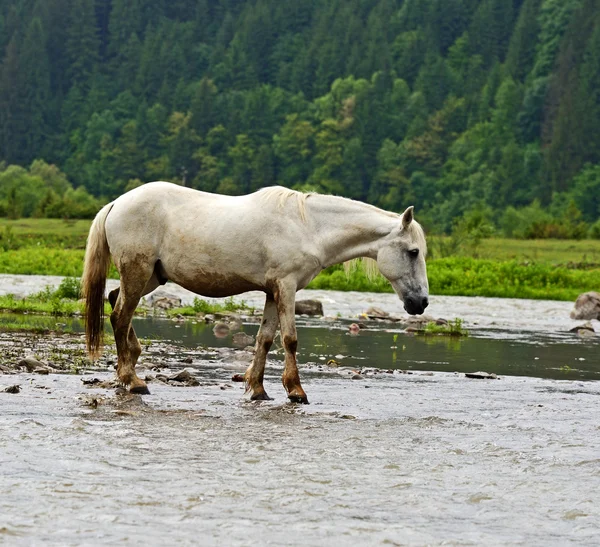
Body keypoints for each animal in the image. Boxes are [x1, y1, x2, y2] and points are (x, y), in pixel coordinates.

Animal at [82, 183, 428, 402]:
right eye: (413, 252)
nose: (421, 302)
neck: (309, 227)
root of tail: (117, 204)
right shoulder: (286, 287)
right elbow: (289, 339)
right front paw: (296, 391)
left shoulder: (273, 292)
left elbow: (264, 338)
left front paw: (258, 389)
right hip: (137, 272)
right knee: (120, 316)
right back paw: (132, 380)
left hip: (151, 277)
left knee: (115, 303)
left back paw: (130, 365)